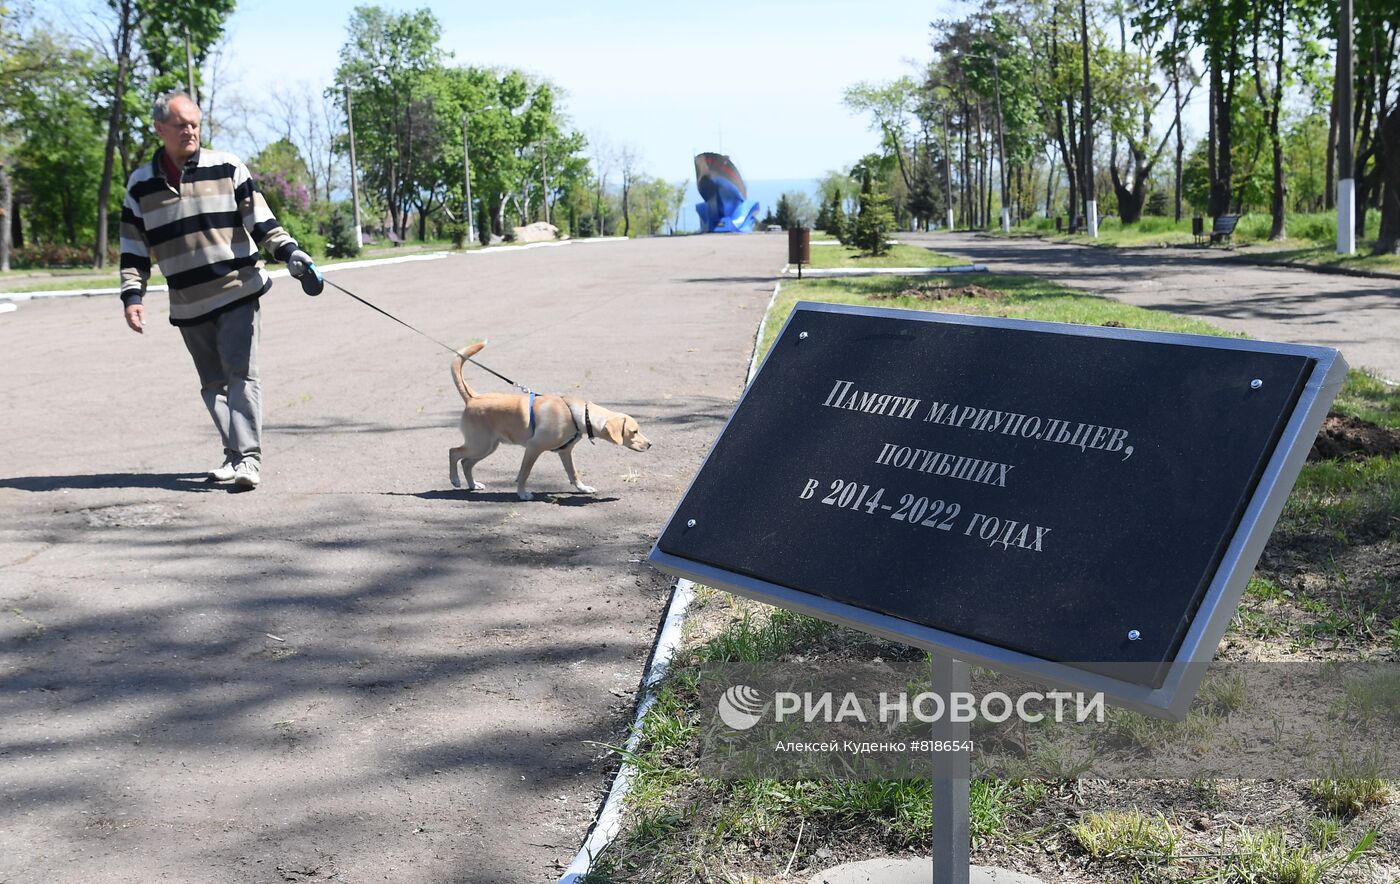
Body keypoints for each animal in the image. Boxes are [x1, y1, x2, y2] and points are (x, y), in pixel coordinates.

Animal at [445, 341, 652, 501]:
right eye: (634, 431)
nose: (650, 444)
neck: (577, 415)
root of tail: (473, 398)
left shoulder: (565, 452)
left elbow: (573, 472)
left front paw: (583, 488)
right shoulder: (533, 448)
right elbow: (524, 473)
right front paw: (522, 494)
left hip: (488, 446)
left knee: (466, 462)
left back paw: (473, 484)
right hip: (480, 444)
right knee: (454, 452)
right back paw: (455, 480)